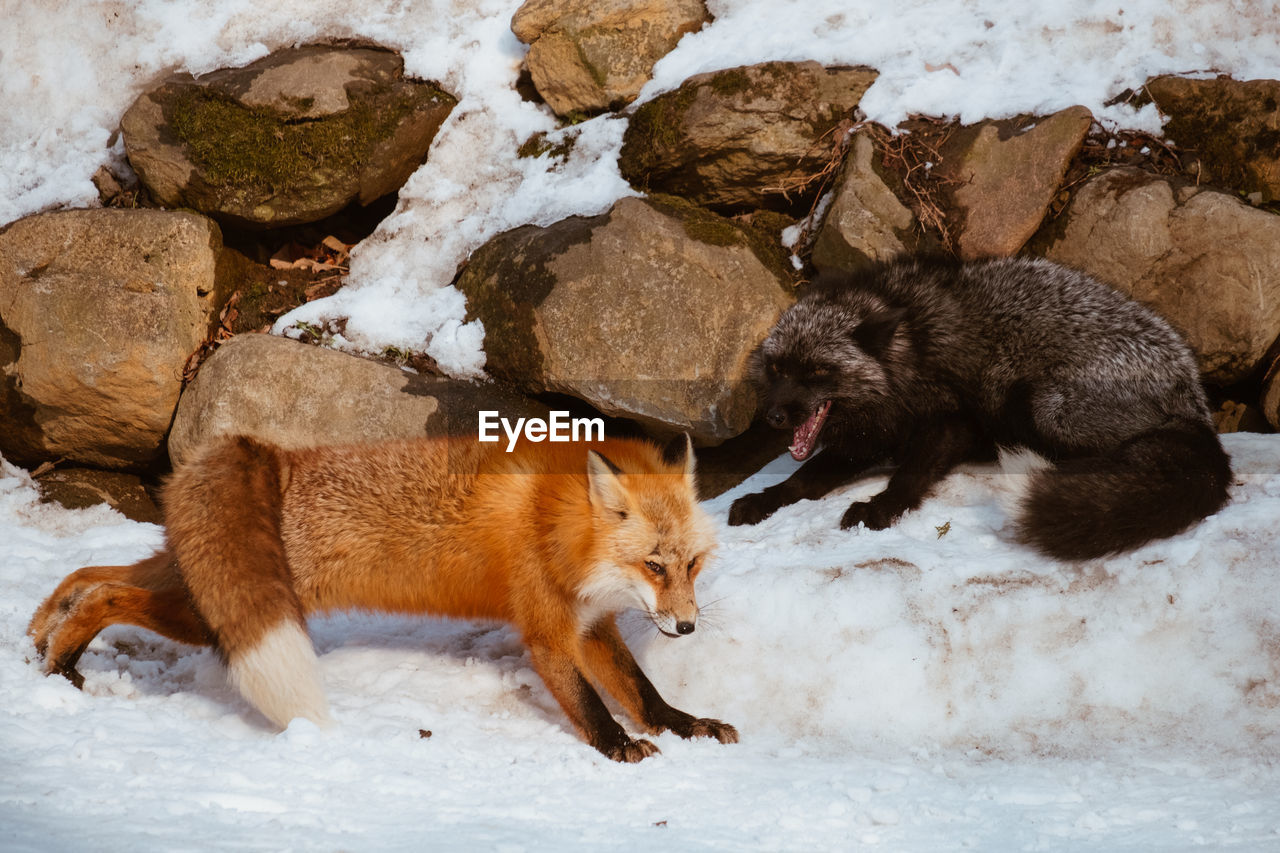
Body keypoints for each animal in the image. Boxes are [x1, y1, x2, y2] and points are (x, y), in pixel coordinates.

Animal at [27, 432, 742, 758]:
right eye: (653, 565)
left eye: (692, 565)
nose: (687, 628)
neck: (559, 523)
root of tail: (264, 452)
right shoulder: (549, 631)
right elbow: (591, 704)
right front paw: (618, 748)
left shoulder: (592, 625)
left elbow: (643, 694)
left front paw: (687, 726)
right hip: (209, 617)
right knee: (107, 596)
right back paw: (61, 663)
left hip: (191, 582)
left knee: (93, 574)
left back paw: (43, 629)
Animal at [737, 253, 1233, 558]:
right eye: (777, 368)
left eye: (817, 372)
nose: (775, 416)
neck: (909, 351)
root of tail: (1195, 404)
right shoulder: (869, 437)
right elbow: (804, 479)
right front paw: (763, 499)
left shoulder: (954, 423)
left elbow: (909, 473)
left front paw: (881, 507)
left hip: (1043, 404)